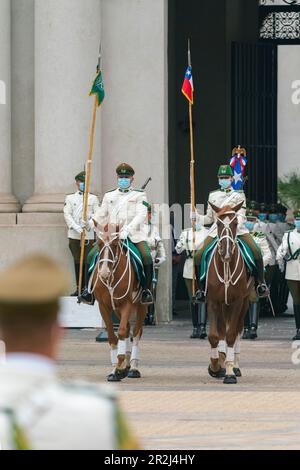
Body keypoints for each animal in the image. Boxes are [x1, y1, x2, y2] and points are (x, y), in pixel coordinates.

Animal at [89, 223, 148, 382]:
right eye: (99, 243)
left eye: (115, 244)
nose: (103, 273)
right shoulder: (104, 306)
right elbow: (112, 336)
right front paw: (116, 369)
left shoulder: (126, 304)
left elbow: (121, 332)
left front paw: (119, 363)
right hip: (117, 309)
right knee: (127, 330)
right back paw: (126, 367)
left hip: (141, 306)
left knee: (136, 332)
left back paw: (133, 367)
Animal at [206, 201, 253, 382]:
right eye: (218, 224)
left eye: (235, 223)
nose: (225, 252)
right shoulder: (213, 301)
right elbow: (214, 336)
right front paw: (215, 366)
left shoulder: (237, 302)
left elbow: (231, 335)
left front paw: (230, 372)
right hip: (222, 306)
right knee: (221, 332)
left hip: (244, 303)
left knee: (237, 329)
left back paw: (235, 365)